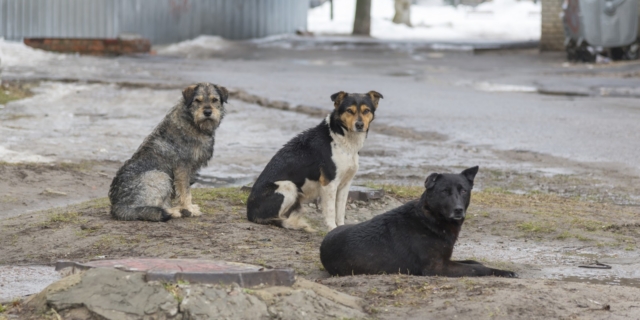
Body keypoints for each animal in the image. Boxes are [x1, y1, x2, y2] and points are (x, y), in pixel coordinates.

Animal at [248, 91, 382, 231]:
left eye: (366, 110)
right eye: (349, 110)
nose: (359, 125)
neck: (341, 137)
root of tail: (250, 212)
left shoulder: (345, 184)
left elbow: (340, 211)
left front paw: (340, 228)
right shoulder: (329, 184)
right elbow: (331, 211)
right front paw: (332, 228)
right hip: (288, 186)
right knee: (276, 218)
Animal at [318, 168, 516, 278]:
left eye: (463, 191)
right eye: (445, 191)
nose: (459, 210)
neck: (429, 219)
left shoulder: (446, 260)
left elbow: (473, 262)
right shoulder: (438, 267)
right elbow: (476, 269)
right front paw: (503, 272)